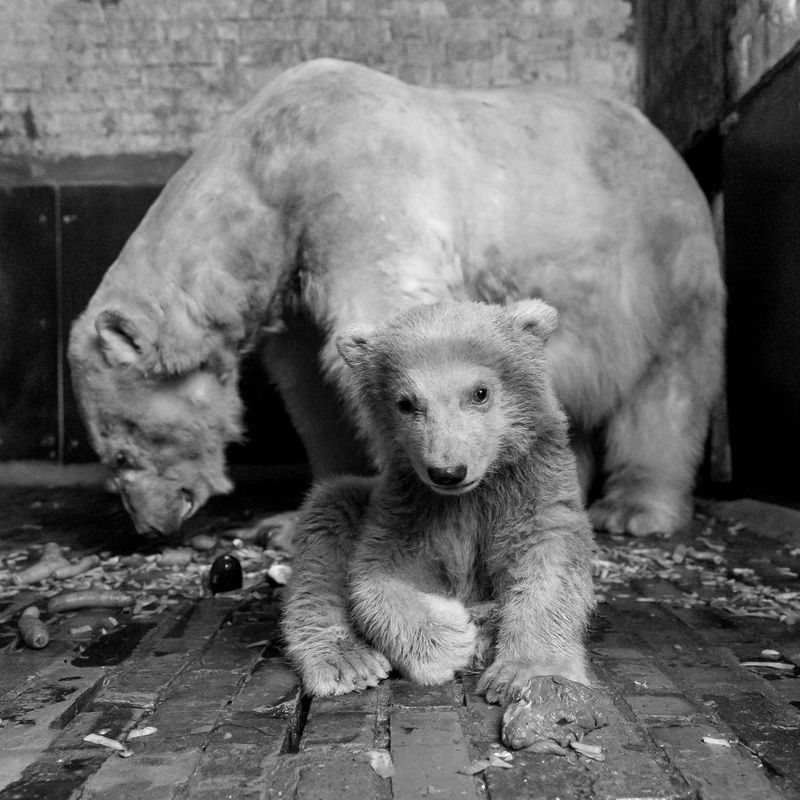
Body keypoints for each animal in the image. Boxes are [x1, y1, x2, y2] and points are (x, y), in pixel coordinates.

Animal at [69, 61, 720, 536]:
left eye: (121, 454)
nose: (149, 527)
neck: (276, 170)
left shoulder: (361, 198)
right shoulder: (296, 281)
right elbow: (313, 385)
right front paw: (292, 520)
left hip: (658, 262)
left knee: (668, 388)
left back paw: (634, 510)